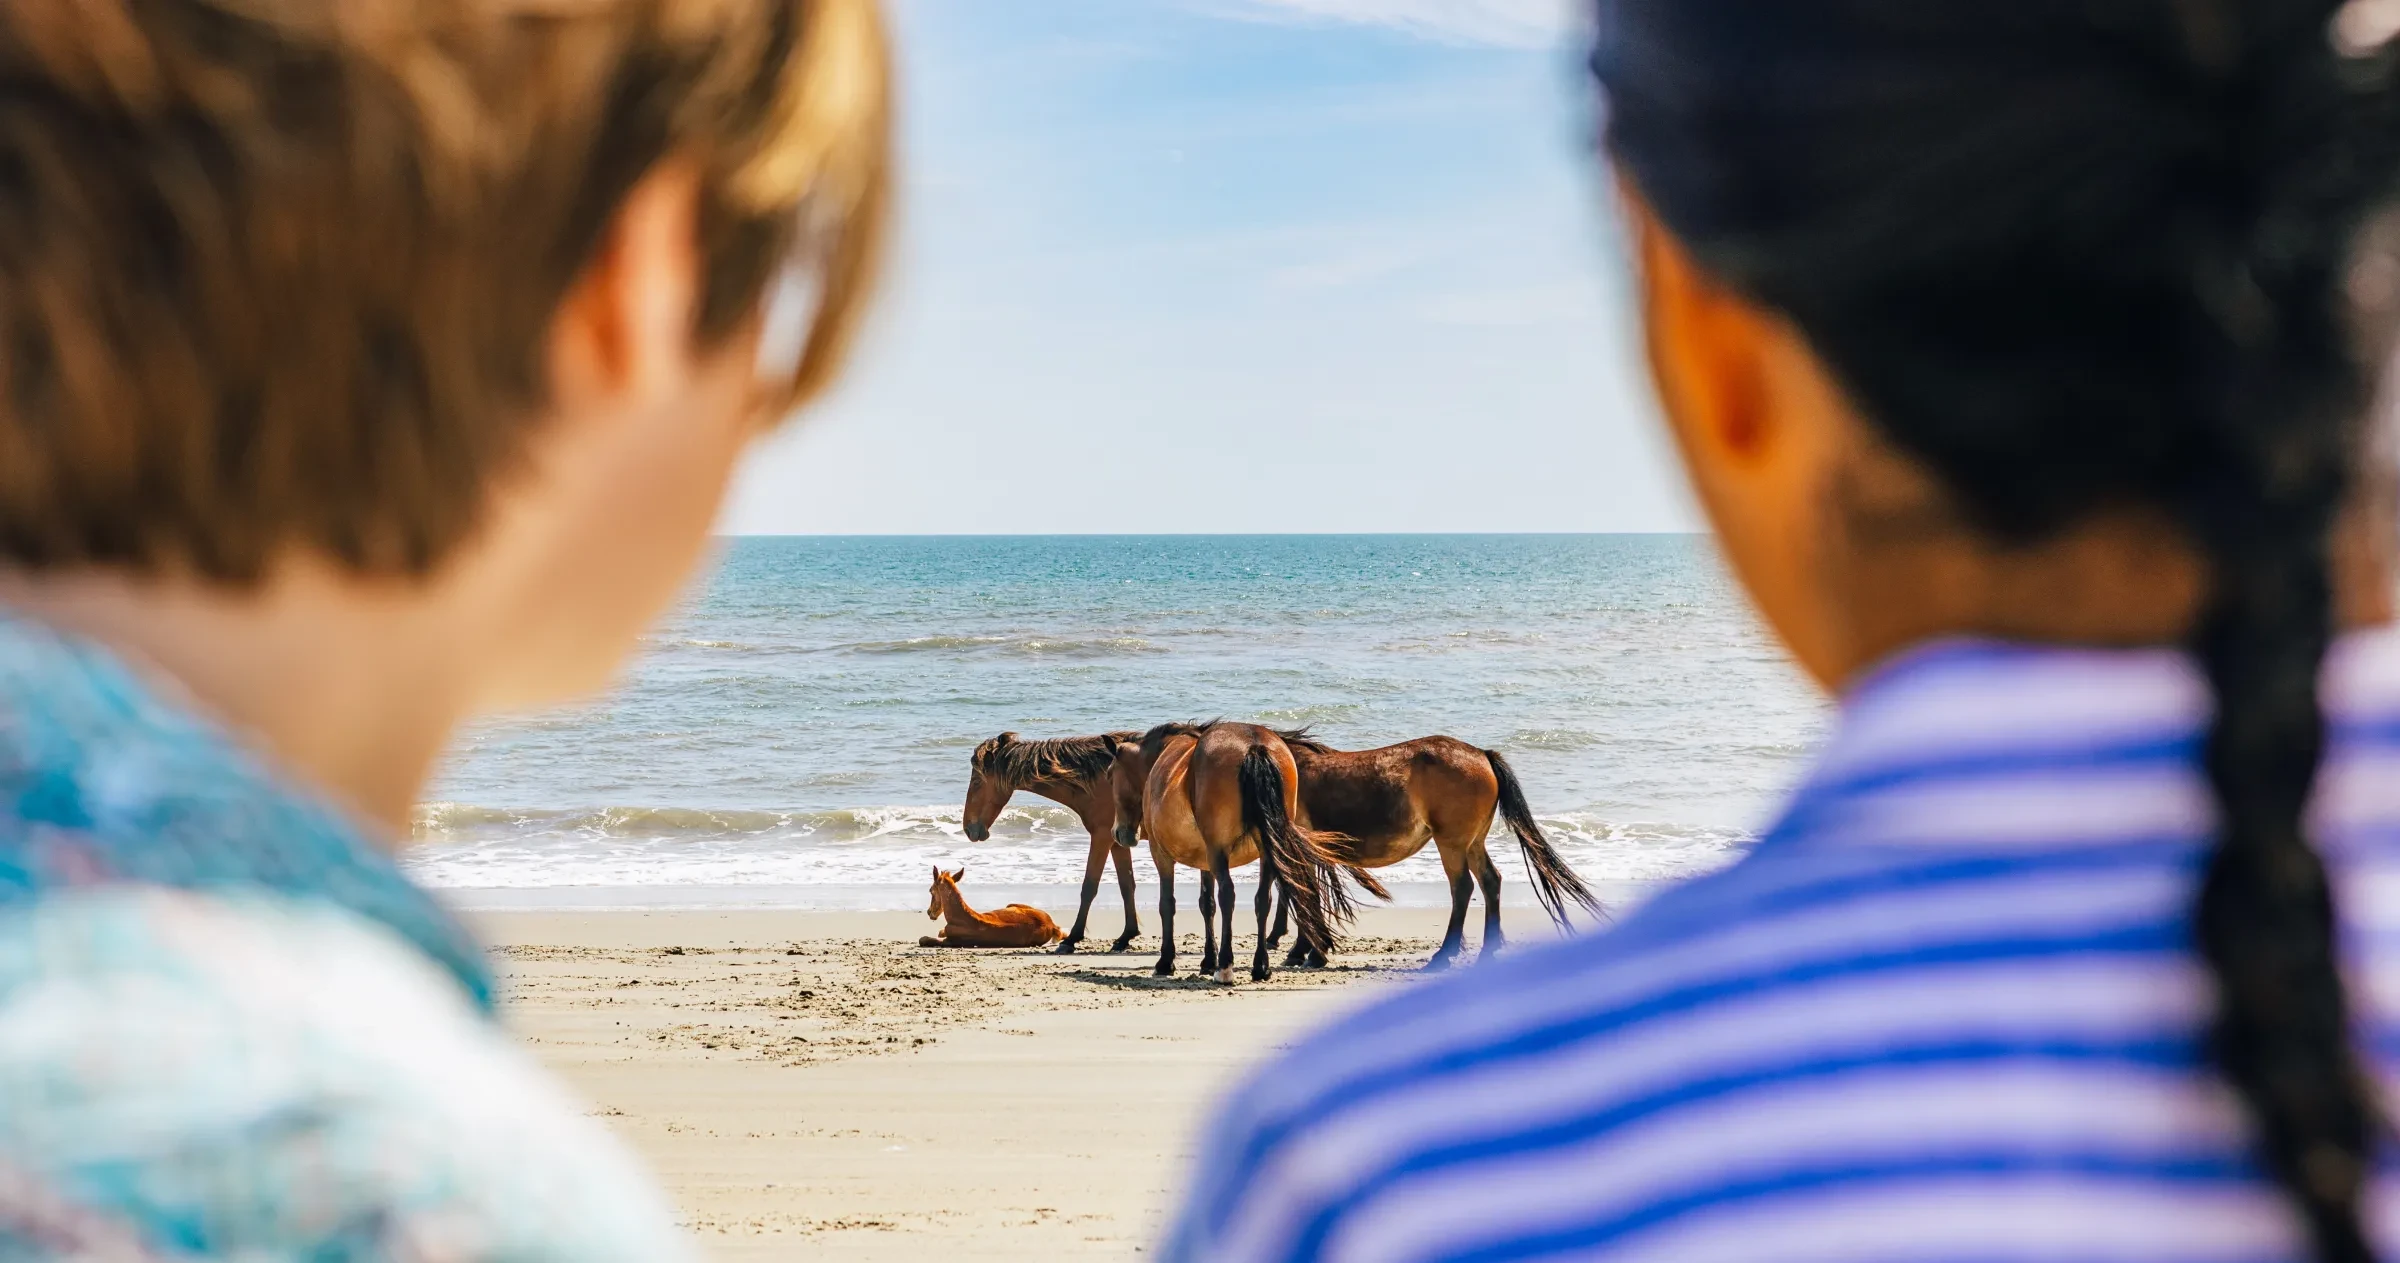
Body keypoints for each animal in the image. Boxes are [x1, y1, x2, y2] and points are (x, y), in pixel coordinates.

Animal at [918, 865, 1063, 949]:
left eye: (930, 890)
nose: (929, 912)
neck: (961, 916)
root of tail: (1052, 925)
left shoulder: (952, 941)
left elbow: (923, 939)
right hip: (1011, 904)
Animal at [962, 731, 1142, 953]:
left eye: (977, 782)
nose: (968, 828)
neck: (1099, 778)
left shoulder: (1101, 837)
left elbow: (1089, 887)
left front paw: (1072, 939)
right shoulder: (1116, 842)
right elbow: (1127, 886)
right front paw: (1126, 936)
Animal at [1106, 721, 1372, 983]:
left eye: (1110, 775)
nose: (1119, 833)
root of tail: (1254, 746)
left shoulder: (1162, 854)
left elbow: (1167, 904)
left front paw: (1166, 962)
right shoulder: (1205, 861)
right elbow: (1207, 904)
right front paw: (1207, 960)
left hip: (1219, 852)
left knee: (1228, 895)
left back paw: (1225, 967)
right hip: (1266, 851)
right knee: (1262, 899)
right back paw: (1260, 966)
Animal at [1266, 733, 1604, 969]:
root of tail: (1483, 755)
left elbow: (1302, 894)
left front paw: (1306, 952)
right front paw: (1306, 950)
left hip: (1452, 843)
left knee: (1463, 887)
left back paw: (1445, 954)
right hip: (1473, 843)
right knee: (1490, 881)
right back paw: (1487, 950)